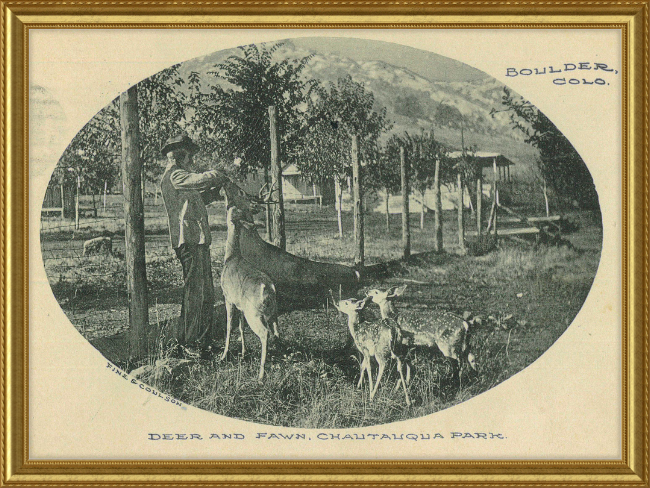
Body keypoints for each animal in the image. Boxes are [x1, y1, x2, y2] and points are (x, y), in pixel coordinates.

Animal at [220, 206, 278, 382]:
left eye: (234, 210)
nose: (228, 207)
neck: (231, 257)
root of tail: (268, 288)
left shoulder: (228, 298)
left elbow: (229, 326)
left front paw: (223, 355)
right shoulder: (240, 306)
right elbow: (240, 326)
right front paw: (244, 352)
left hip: (254, 313)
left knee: (265, 333)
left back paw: (261, 374)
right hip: (271, 311)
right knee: (276, 332)